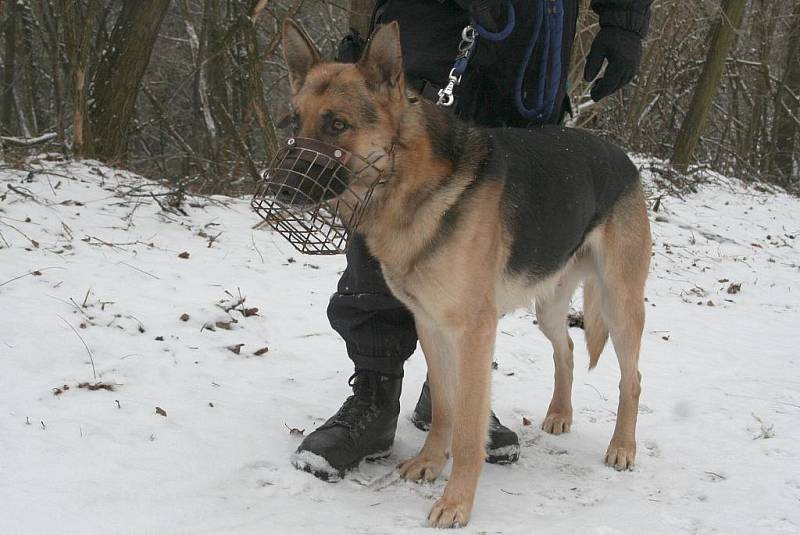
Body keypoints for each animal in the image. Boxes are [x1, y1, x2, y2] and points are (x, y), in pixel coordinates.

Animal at [282, 19, 648, 528]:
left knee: (632, 378)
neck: (412, 182)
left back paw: (623, 446)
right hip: (549, 305)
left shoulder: (474, 331)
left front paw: (456, 501)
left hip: (620, 304)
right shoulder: (430, 325)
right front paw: (430, 462)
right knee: (569, 349)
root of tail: (624, 157)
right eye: (294, 122)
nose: (281, 190)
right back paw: (559, 414)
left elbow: (470, 424)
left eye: (337, 124)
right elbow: (444, 407)